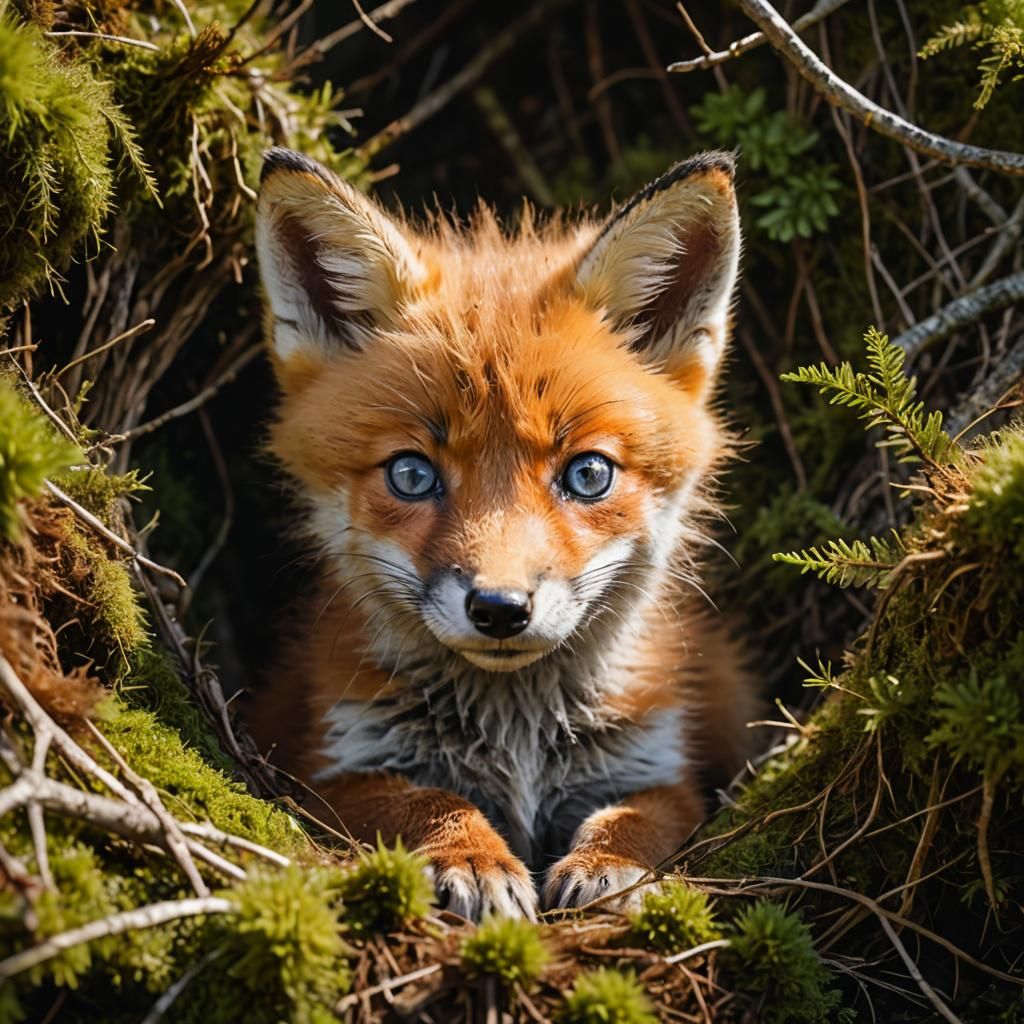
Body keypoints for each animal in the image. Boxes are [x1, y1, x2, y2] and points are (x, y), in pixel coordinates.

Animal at [248, 146, 757, 921]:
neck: (518, 734)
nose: (499, 610)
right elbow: (425, 799)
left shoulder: (650, 760)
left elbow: (640, 816)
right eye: (411, 475)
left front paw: (609, 863)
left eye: (588, 475)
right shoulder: (333, 764)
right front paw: (474, 856)